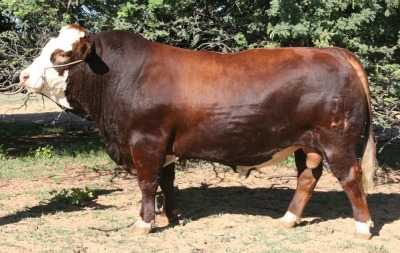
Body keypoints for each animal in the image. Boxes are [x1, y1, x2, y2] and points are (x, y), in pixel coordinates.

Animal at [18, 24, 376, 238]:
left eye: (61, 54)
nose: (23, 76)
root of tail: (333, 51)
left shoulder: (145, 141)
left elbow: (147, 183)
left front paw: (144, 222)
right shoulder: (163, 145)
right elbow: (166, 181)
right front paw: (172, 215)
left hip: (337, 140)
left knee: (349, 176)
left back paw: (363, 226)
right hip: (305, 143)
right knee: (307, 177)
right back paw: (289, 219)